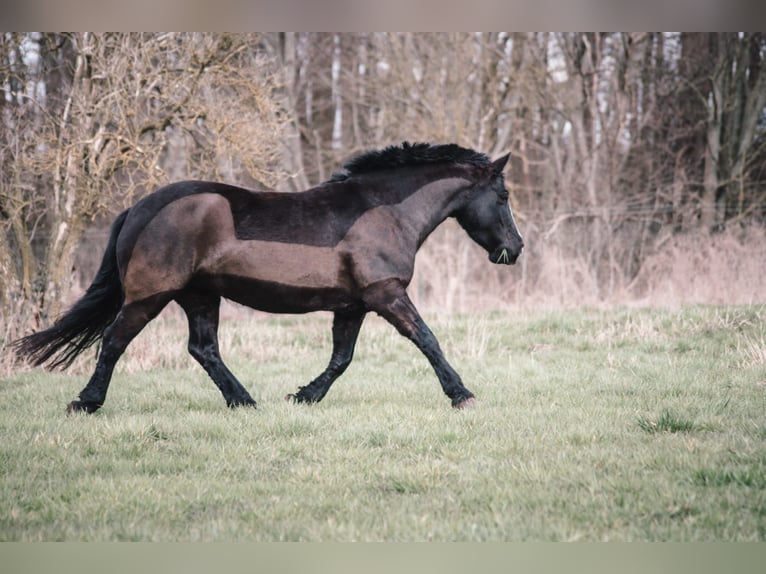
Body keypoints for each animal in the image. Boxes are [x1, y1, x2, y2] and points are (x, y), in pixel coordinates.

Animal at [15, 143, 524, 414]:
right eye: (502, 196)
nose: (515, 250)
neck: (385, 211)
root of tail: (137, 209)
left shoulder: (353, 305)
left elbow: (341, 359)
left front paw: (304, 395)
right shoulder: (386, 295)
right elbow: (428, 340)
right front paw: (462, 395)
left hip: (200, 297)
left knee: (203, 349)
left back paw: (244, 401)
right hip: (150, 296)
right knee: (114, 341)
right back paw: (86, 402)